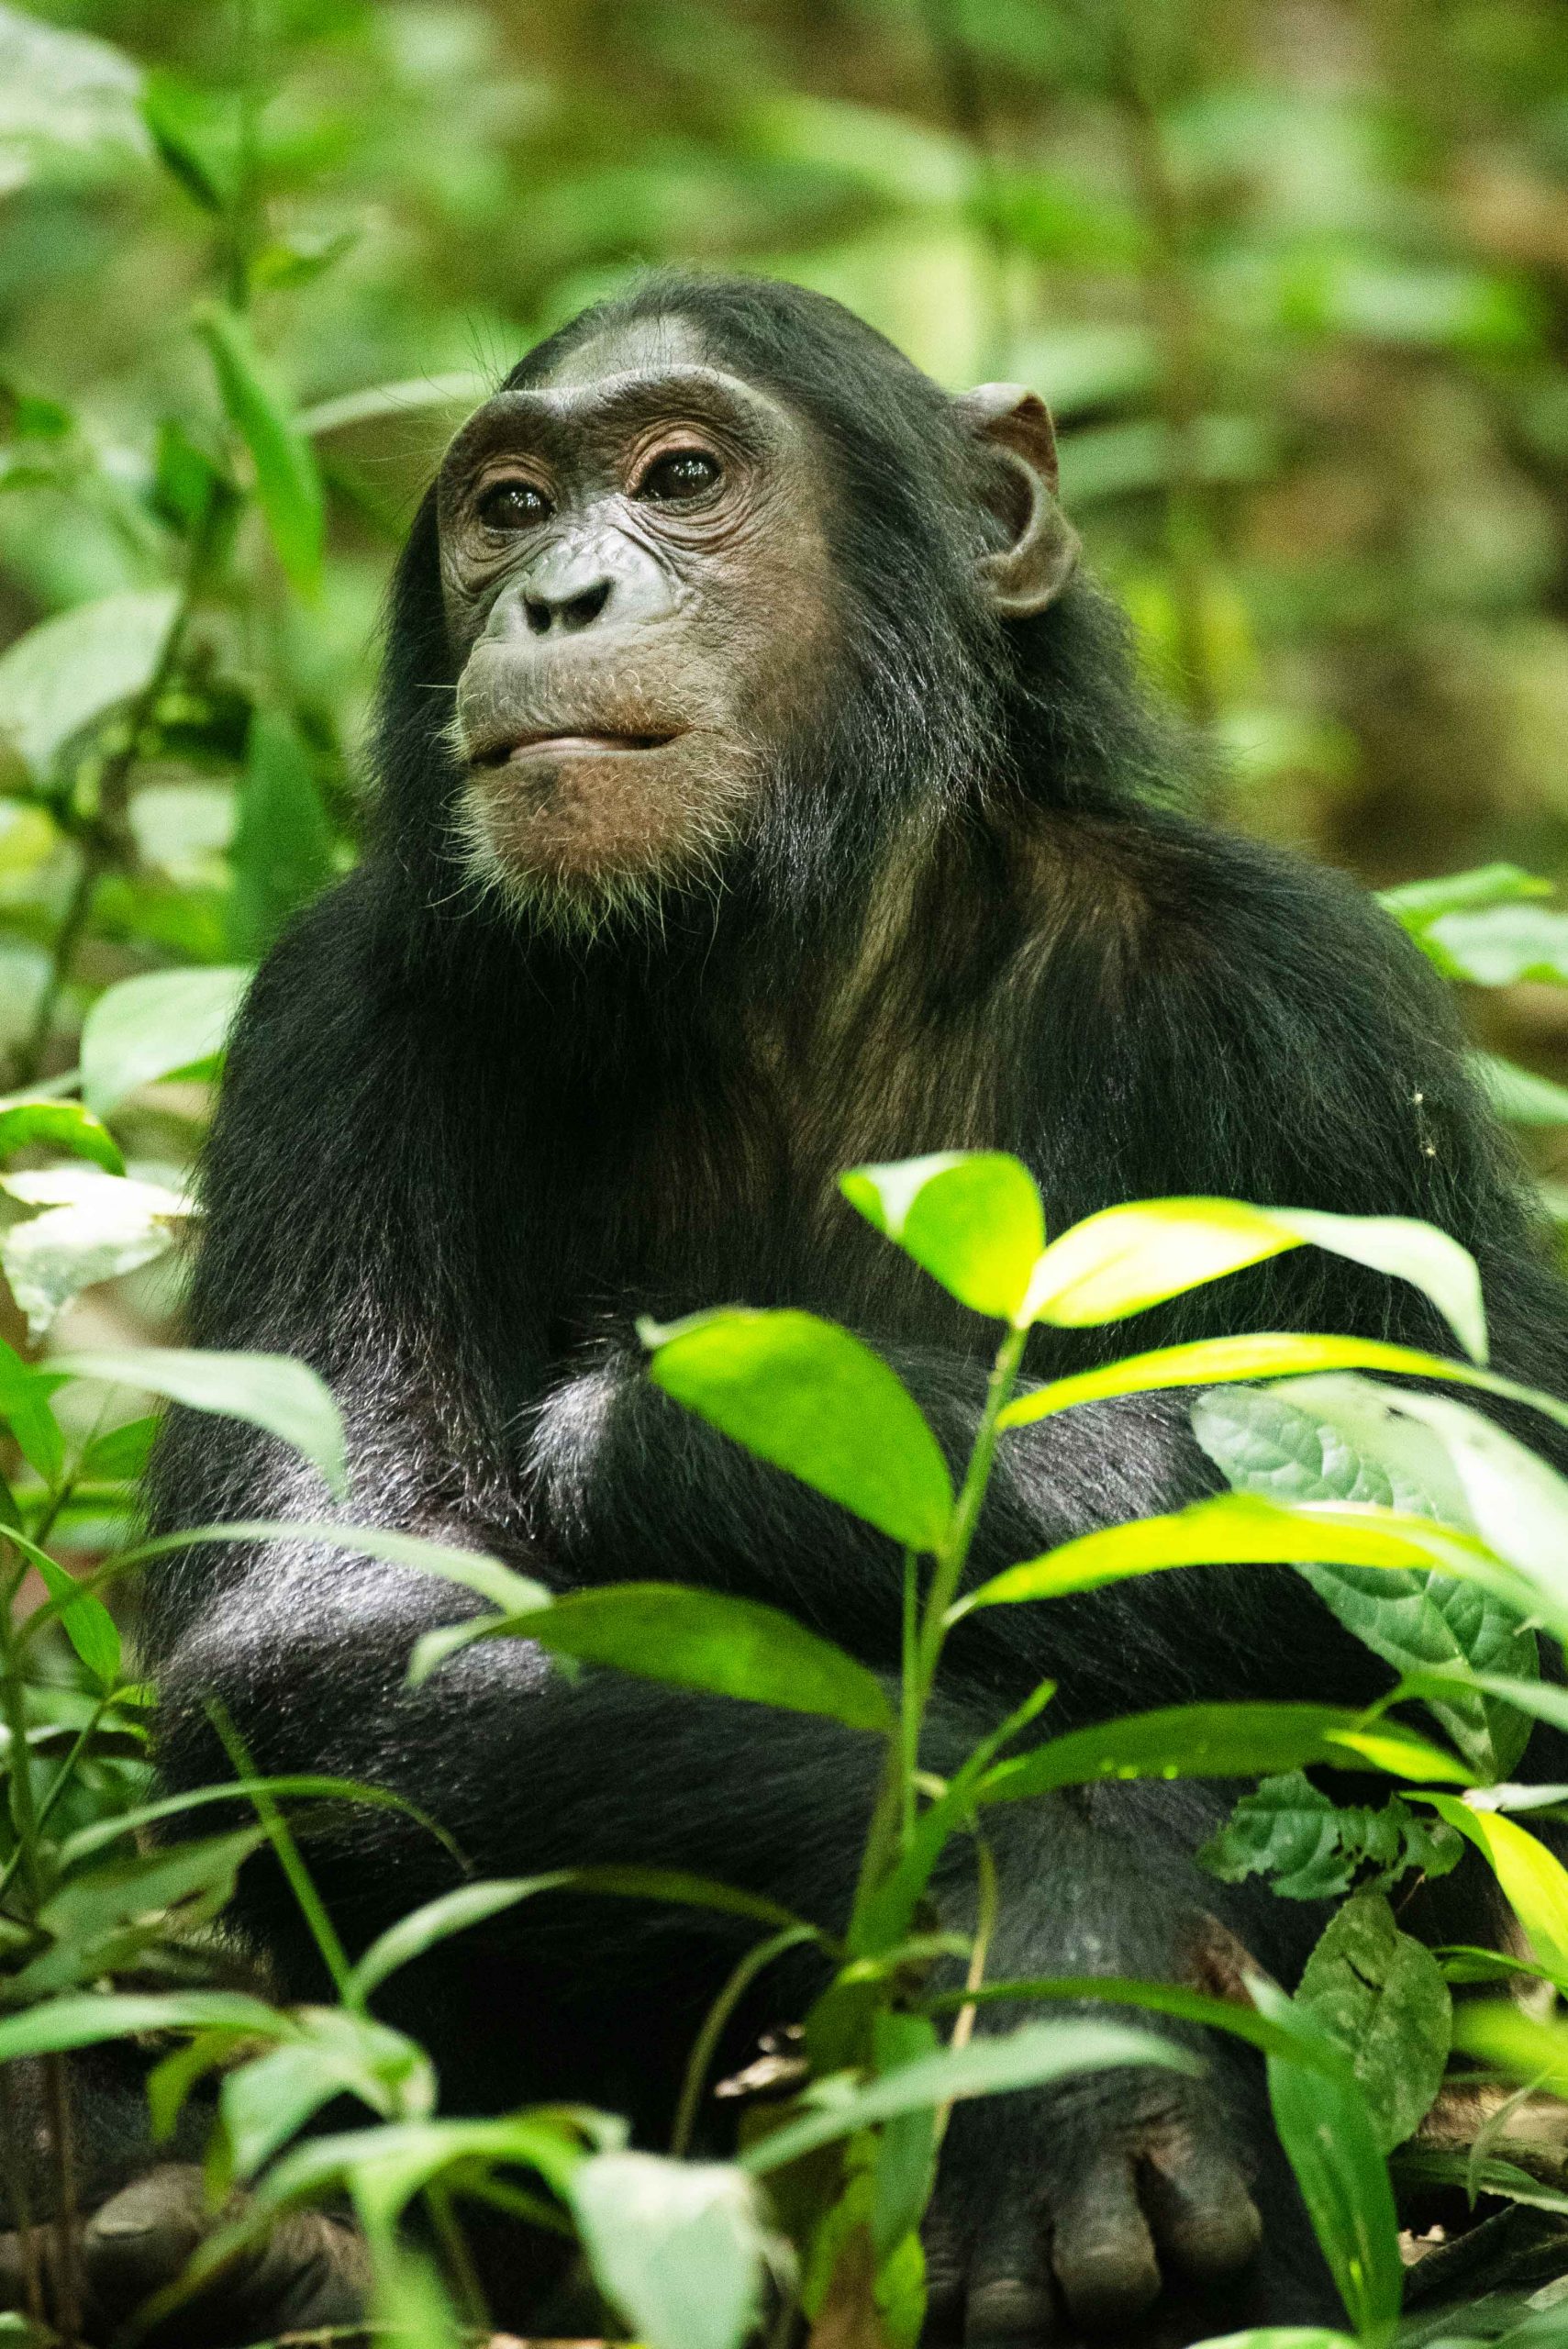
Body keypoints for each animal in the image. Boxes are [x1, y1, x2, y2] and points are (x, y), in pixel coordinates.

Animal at [24, 279, 1568, 2349]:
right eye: (506, 506)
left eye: (681, 477)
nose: (557, 594)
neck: (782, 958)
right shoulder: (333, 1019)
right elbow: (333, 1624)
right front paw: (1047, 1919)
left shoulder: (1311, 1011)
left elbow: (1488, 1560)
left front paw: (668, 1421)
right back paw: (231, 2242)